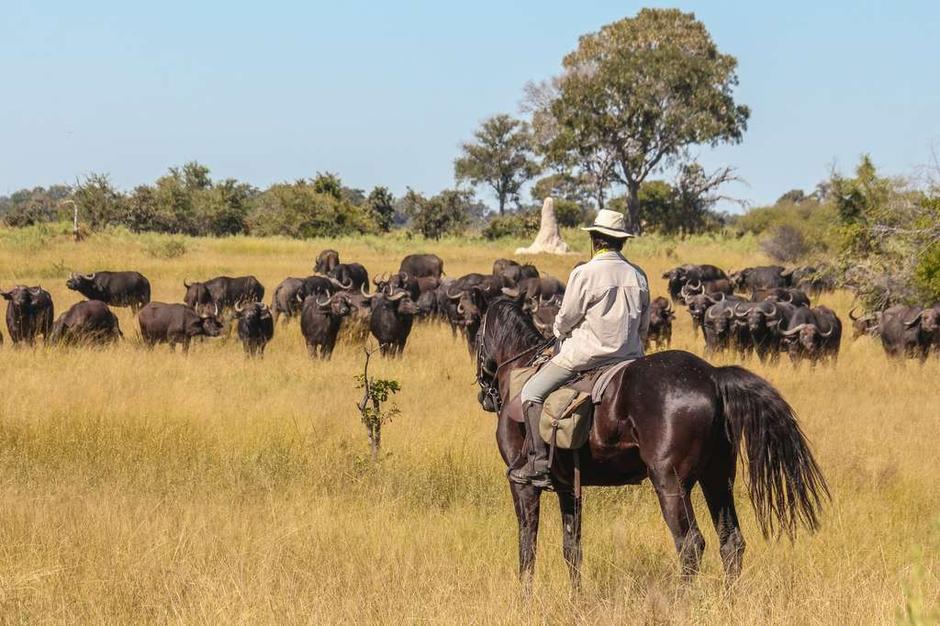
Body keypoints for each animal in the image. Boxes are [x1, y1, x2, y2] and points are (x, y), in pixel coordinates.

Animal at [475, 298, 829, 588]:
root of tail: (713, 377)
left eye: (477, 337)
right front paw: (576, 599)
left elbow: (527, 546)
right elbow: (571, 548)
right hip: (717, 479)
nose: (484, 396)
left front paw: (526, 598)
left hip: (670, 483)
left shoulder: (523, 485)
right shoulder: (568, 487)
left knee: (690, 544)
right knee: (731, 541)